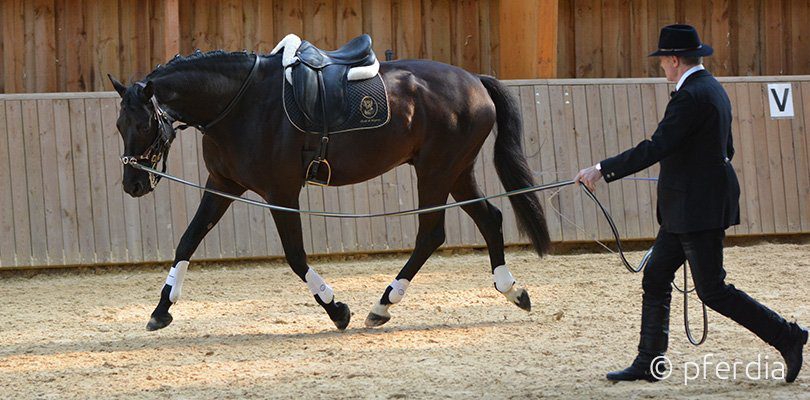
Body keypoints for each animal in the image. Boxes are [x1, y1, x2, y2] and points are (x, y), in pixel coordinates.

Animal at [109, 39, 548, 332]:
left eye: (144, 124)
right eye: (118, 124)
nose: (132, 183)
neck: (241, 101)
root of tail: (474, 80)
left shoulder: (281, 193)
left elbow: (295, 255)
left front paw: (337, 309)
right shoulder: (224, 184)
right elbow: (188, 240)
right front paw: (161, 310)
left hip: (437, 171)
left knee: (431, 234)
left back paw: (382, 305)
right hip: (455, 171)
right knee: (489, 218)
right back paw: (513, 291)